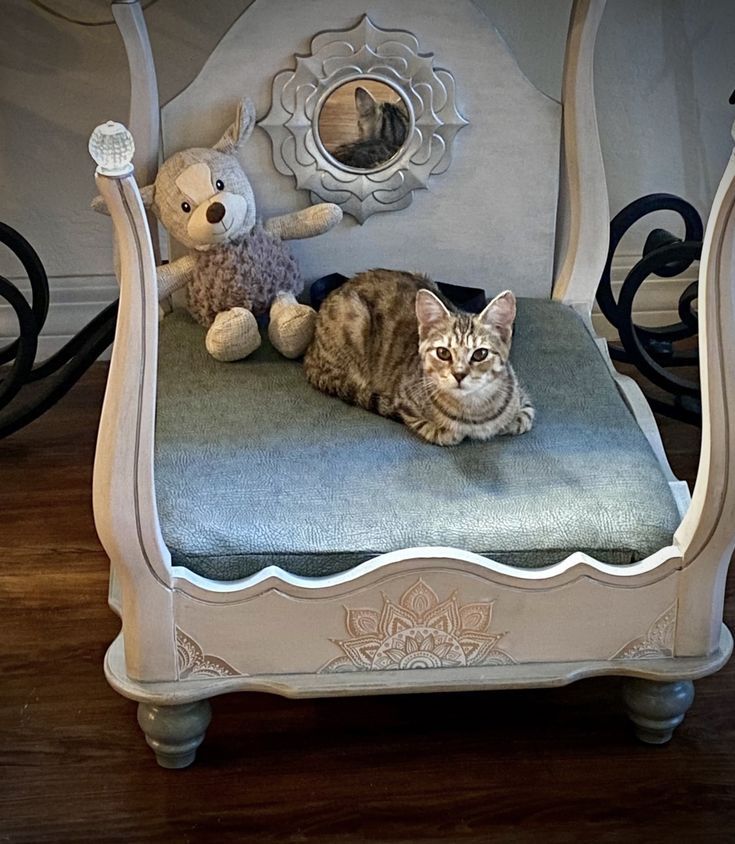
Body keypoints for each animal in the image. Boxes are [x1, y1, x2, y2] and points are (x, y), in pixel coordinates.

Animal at [304, 270, 536, 446]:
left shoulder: (522, 397)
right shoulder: (403, 399)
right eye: (443, 352)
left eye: (480, 354)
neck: (473, 410)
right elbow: (435, 429)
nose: (459, 374)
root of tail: (311, 351)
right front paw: (446, 430)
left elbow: (525, 416)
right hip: (354, 319)